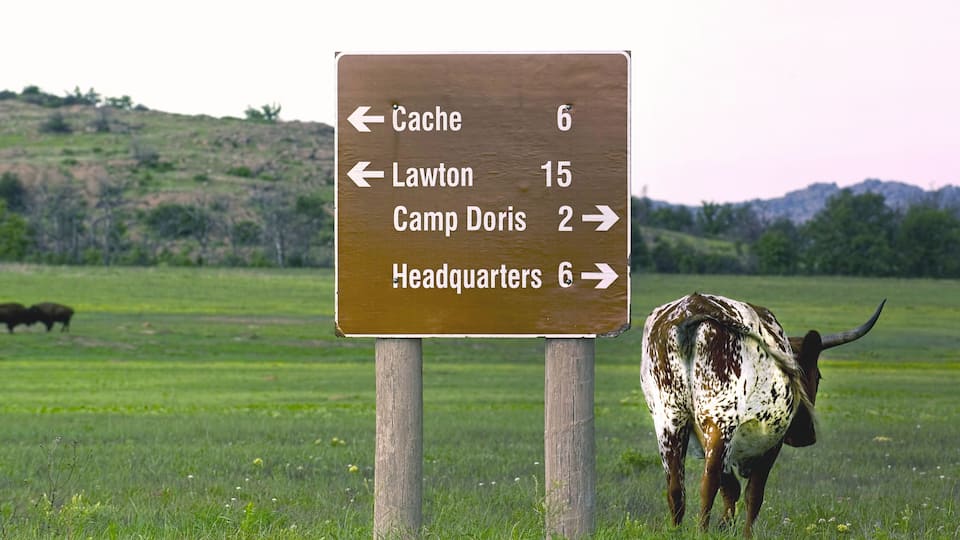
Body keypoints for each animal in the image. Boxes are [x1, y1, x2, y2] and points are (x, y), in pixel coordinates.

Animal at [640, 293, 884, 537]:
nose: (806, 436)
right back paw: (702, 532)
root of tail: (695, 306)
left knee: (676, 488)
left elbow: (731, 488)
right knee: (708, 483)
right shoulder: (771, 444)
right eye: (818, 376)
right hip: (721, 421)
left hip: (669, 422)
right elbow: (753, 494)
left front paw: (725, 525)